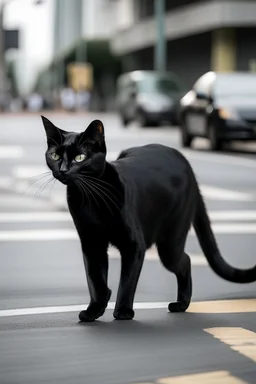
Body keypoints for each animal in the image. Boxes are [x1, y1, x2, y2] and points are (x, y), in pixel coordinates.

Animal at [41, 116, 256, 320]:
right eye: (55, 155)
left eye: (80, 157)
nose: (63, 169)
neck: (90, 199)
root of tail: (182, 158)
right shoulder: (91, 242)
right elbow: (95, 279)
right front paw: (95, 309)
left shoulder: (134, 245)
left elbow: (127, 281)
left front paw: (123, 311)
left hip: (170, 243)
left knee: (185, 260)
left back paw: (181, 304)